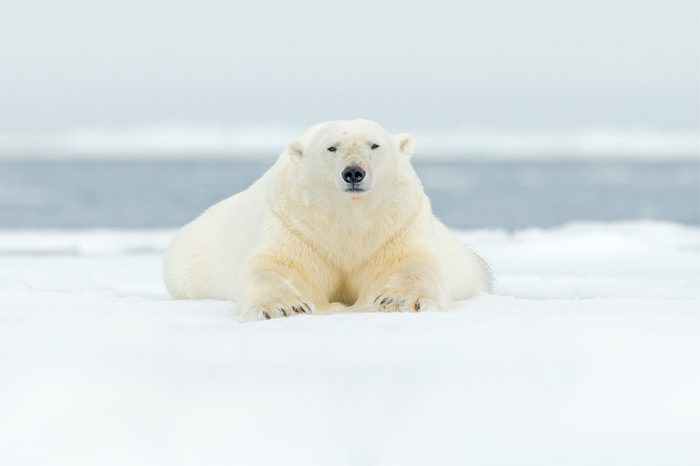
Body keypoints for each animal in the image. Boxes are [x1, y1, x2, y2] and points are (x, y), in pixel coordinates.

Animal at [163, 119, 491, 321]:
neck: (348, 219)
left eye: (375, 145)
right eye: (331, 147)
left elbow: (411, 263)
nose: (354, 172)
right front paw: (284, 306)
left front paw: (397, 300)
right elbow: (275, 266)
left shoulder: (397, 224)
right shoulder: (294, 224)